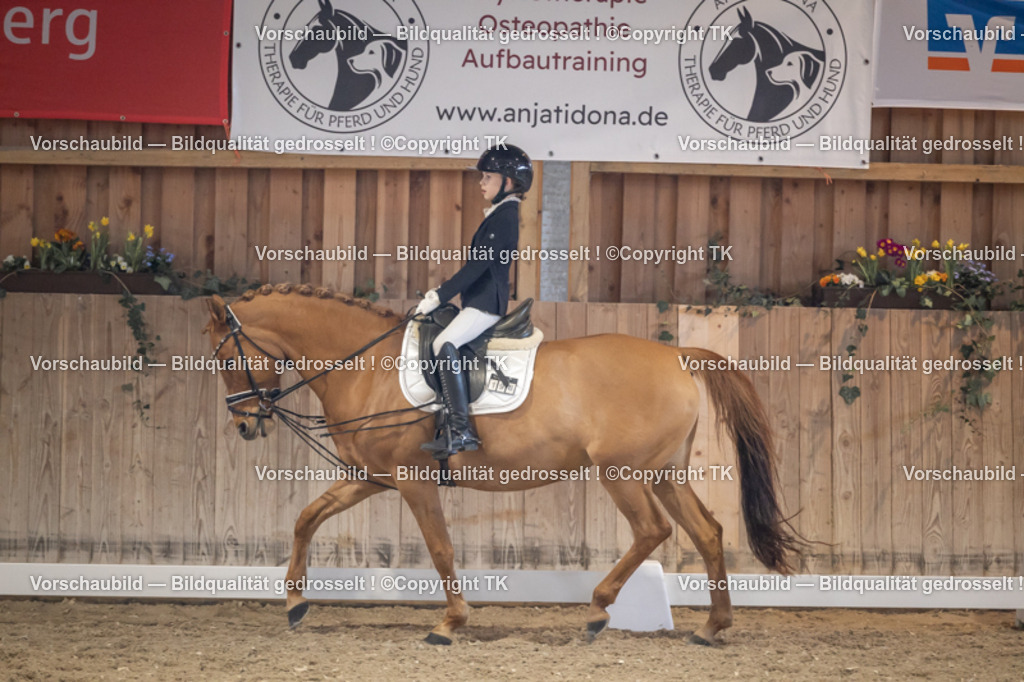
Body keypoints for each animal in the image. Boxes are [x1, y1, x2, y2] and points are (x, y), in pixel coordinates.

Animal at [203, 284, 802, 645]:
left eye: (228, 358)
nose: (245, 425)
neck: (366, 365)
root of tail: (677, 354)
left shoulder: (413, 481)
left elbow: (441, 549)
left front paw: (450, 622)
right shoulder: (372, 478)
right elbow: (306, 519)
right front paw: (295, 603)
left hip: (623, 474)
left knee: (652, 531)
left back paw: (597, 610)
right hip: (664, 473)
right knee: (707, 531)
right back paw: (712, 626)